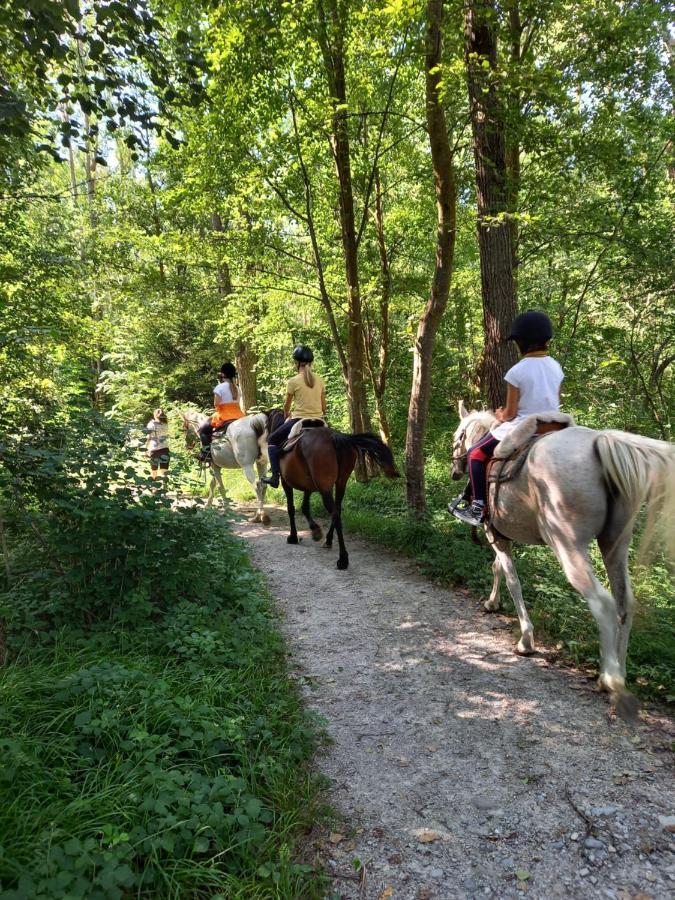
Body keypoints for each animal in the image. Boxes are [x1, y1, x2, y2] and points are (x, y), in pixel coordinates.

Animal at [276, 424, 398, 568]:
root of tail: (334, 436)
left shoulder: (286, 483)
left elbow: (291, 509)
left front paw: (294, 537)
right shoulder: (309, 486)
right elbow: (305, 507)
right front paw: (315, 531)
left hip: (325, 488)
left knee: (335, 514)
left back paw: (343, 558)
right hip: (341, 483)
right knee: (338, 510)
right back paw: (328, 541)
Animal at [452, 400, 672, 716]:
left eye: (457, 435)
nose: (454, 469)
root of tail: (599, 443)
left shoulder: (494, 532)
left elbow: (512, 579)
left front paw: (525, 639)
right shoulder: (501, 534)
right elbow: (498, 569)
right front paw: (492, 603)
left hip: (566, 544)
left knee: (602, 603)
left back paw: (610, 679)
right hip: (615, 545)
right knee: (624, 602)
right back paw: (619, 671)